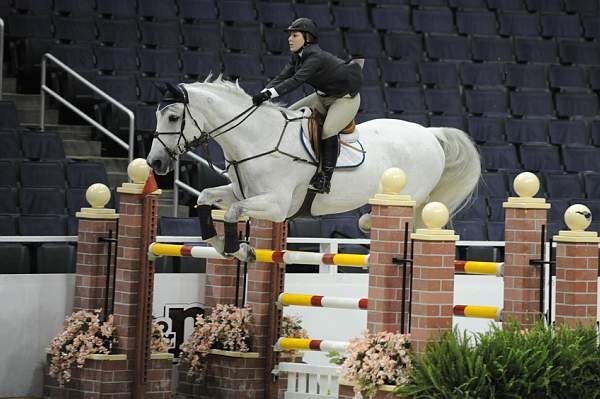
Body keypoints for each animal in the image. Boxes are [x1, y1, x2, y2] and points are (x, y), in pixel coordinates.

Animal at [148, 77, 480, 260]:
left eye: (173, 117)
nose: (155, 163)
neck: (258, 138)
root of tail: (431, 133)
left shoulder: (276, 206)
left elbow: (232, 213)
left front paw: (238, 249)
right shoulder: (239, 192)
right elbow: (206, 197)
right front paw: (220, 244)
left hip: (412, 194)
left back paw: (370, 223)